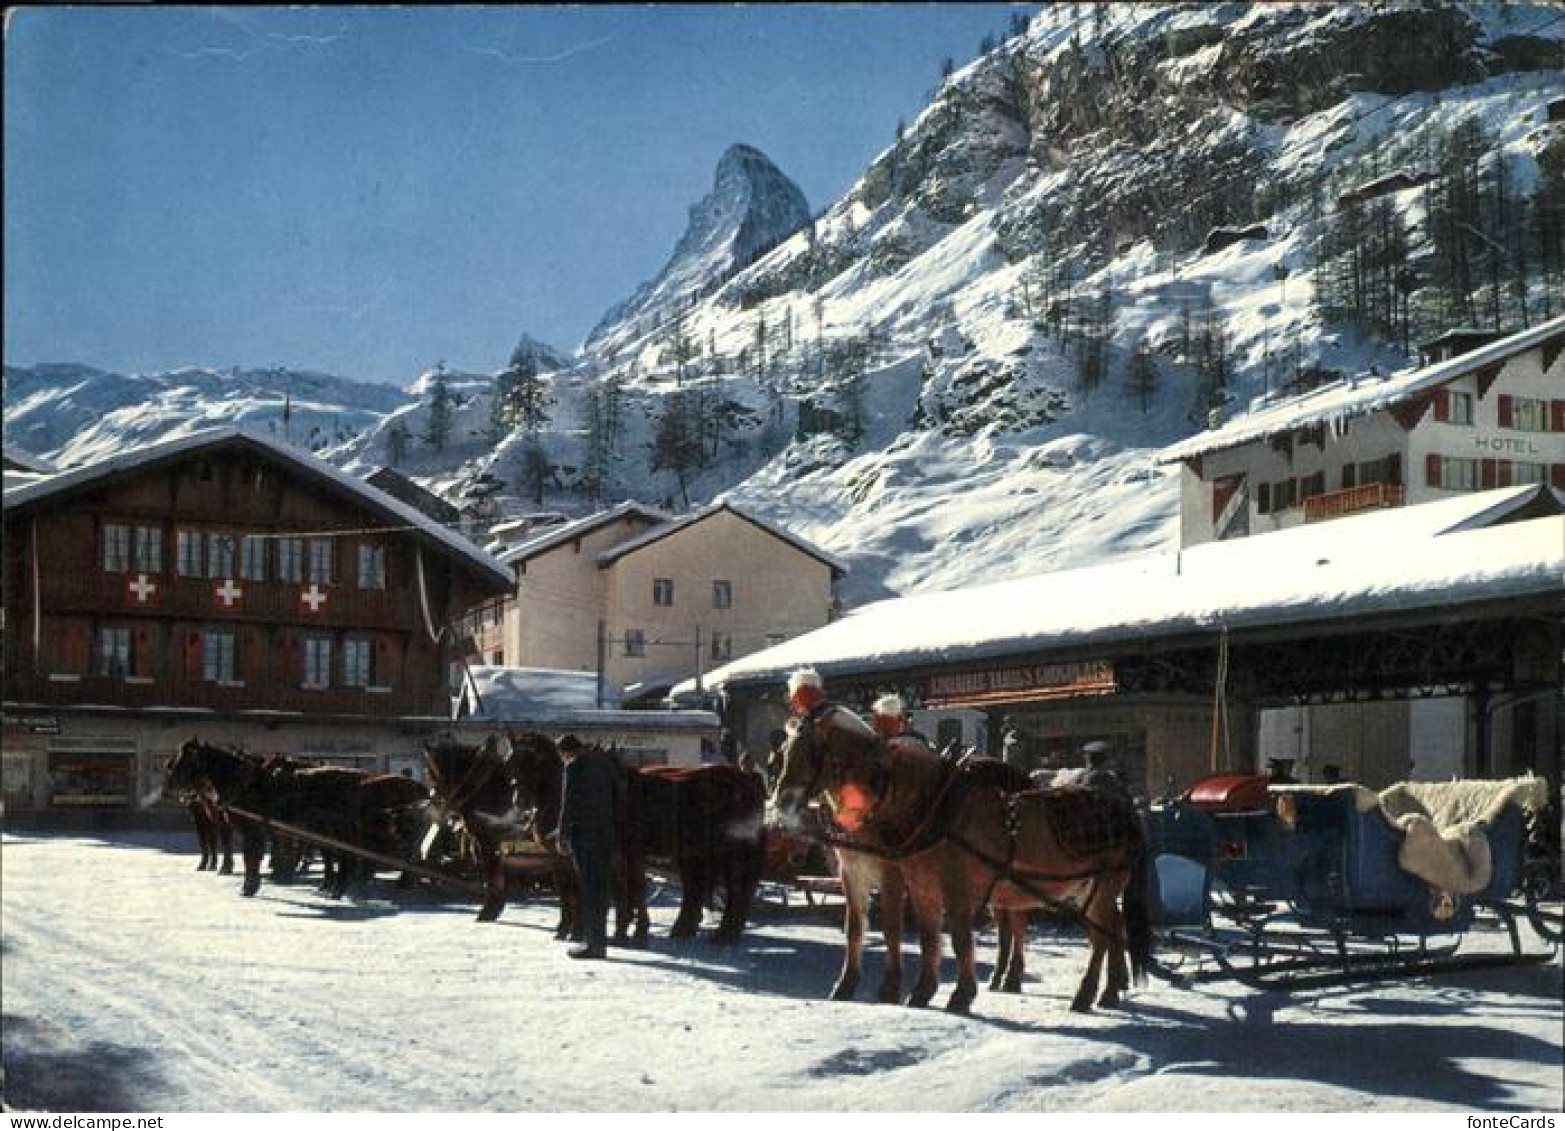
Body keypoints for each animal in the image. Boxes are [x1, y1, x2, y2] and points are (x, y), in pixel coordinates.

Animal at [769, 707, 1151, 1019]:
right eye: (781, 754)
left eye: (812, 752)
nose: (780, 804)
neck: (935, 809)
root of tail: (1126, 808)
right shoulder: (913, 884)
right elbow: (920, 936)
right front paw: (919, 991)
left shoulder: (947, 885)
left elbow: (958, 939)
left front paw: (959, 995)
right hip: (1083, 888)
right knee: (1108, 930)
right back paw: (1109, 989)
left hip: (1103, 886)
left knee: (1099, 938)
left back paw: (1084, 994)